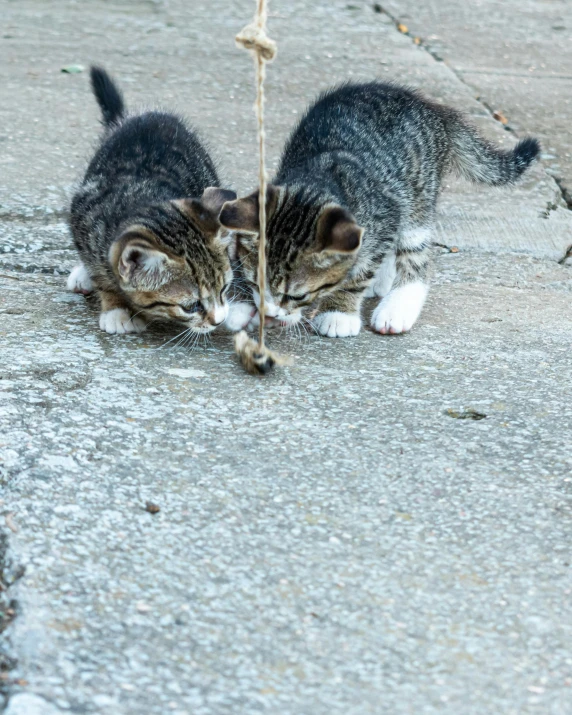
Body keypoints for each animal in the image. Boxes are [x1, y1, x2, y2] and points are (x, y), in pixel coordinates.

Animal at [67, 66, 241, 336]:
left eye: (223, 289)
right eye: (191, 306)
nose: (219, 320)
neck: (145, 196)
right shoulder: (83, 216)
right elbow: (102, 275)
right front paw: (115, 307)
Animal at [217, 79, 540, 338]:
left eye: (297, 295)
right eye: (253, 283)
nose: (270, 312)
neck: (313, 183)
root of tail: (430, 107)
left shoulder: (385, 213)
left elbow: (358, 275)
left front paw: (339, 312)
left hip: (416, 197)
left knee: (415, 255)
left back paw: (398, 306)